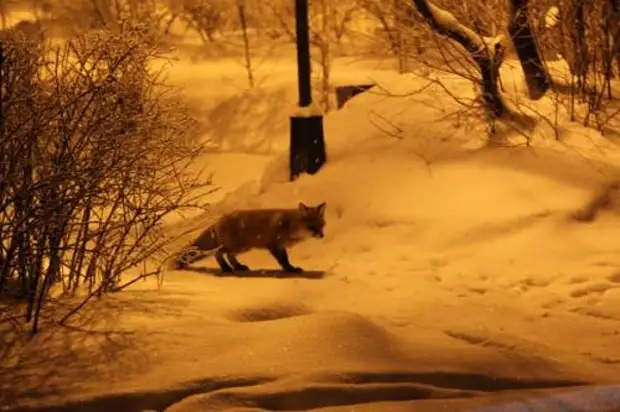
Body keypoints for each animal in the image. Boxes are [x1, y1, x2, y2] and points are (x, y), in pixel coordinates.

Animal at [172, 201, 326, 272]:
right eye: (311, 227)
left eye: (321, 225)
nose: (321, 235)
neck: (289, 225)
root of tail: (219, 220)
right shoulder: (275, 245)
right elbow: (284, 261)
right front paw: (290, 270)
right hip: (238, 246)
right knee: (218, 253)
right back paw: (226, 268)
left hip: (243, 248)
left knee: (229, 256)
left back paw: (238, 267)